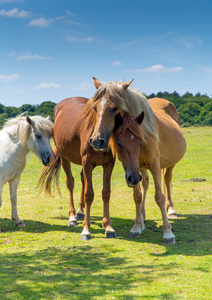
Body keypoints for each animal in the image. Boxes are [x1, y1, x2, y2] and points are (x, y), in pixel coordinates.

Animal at [36, 97, 116, 240]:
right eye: (95, 109)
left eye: (115, 109)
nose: (98, 141)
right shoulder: (87, 163)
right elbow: (89, 194)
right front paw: (86, 230)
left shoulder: (108, 164)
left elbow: (106, 193)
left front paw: (108, 227)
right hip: (65, 158)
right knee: (70, 183)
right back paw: (72, 217)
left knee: (82, 179)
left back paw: (79, 212)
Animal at [90, 77, 187, 244]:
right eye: (95, 108)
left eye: (114, 108)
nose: (97, 141)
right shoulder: (130, 168)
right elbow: (137, 196)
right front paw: (136, 227)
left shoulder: (154, 164)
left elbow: (159, 196)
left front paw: (168, 233)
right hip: (140, 168)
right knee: (145, 184)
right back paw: (142, 216)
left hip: (168, 164)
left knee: (167, 180)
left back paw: (171, 210)